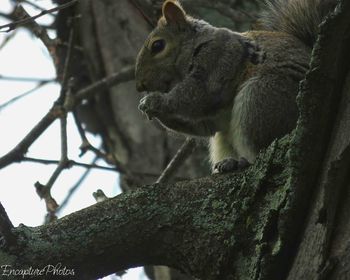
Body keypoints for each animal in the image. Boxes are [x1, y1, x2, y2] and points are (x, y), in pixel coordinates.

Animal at [135, 0, 336, 173]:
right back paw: (229, 163)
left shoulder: (219, 58)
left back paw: (242, 162)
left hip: (262, 99)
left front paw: (155, 101)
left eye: (158, 45)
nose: (140, 85)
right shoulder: (213, 117)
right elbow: (203, 126)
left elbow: (199, 95)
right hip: (226, 137)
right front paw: (151, 110)